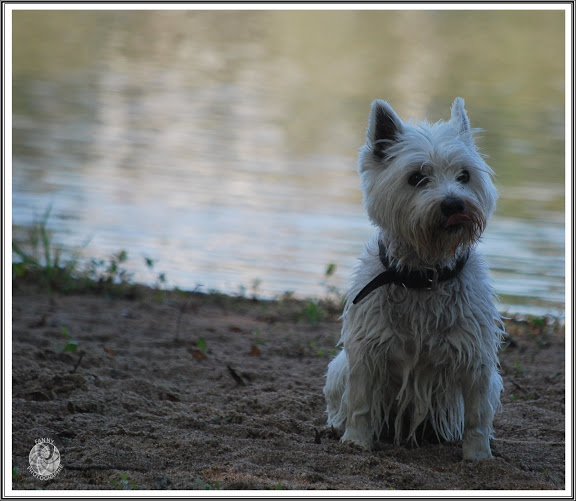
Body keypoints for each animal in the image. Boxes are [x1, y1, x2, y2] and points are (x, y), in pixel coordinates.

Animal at [324, 95, 504, 458]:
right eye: (417, 177)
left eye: (464, 175)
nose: (454, 204)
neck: (424, 274)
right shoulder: (366, 352)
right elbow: (361, 403)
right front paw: (356, 443)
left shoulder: (476, 358)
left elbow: (477, 416)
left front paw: (478, 457)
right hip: (339, 367)